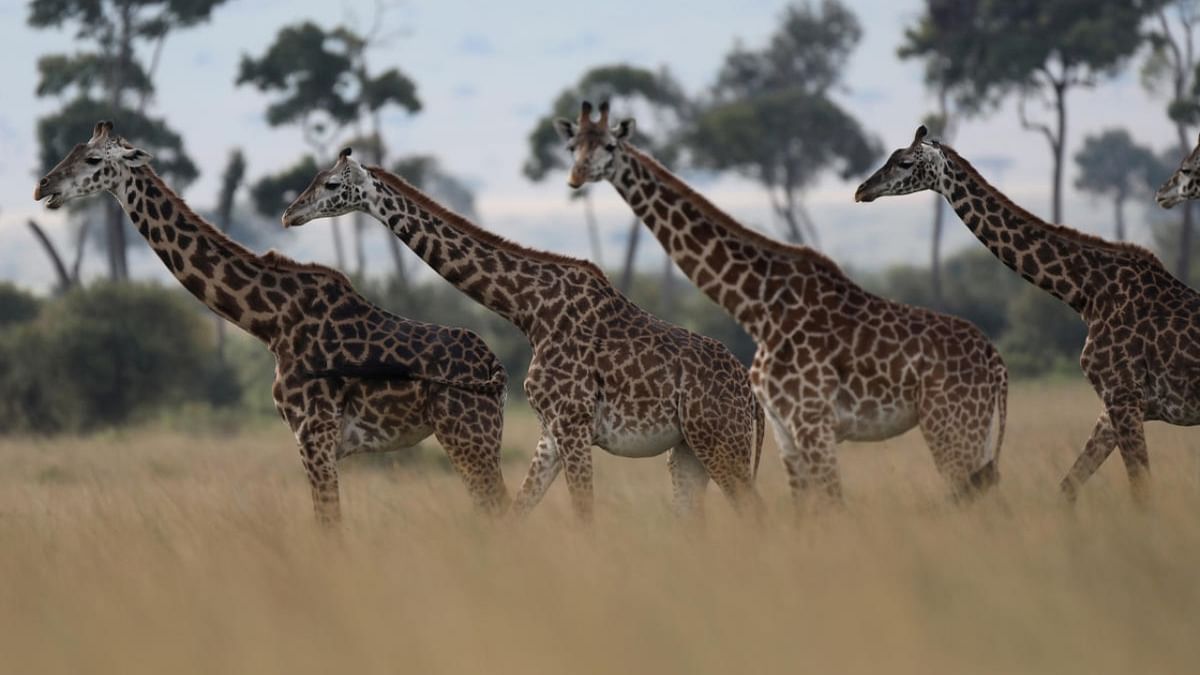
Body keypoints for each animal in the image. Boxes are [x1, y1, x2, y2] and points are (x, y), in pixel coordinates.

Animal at [32, 120, 511, 521]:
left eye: (94, 159)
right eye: (74, 149)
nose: (42, 185)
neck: (269, 321)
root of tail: (497, 368)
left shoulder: (314, 434)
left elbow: (329, 528)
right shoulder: (317, 440)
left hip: (468, 432)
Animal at [284, 147, 763, 516]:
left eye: (331, 184)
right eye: (314, 179)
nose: (290, 214)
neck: (529, 312)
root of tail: (753, 400)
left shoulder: (573, 423)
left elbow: (584, 515)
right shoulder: (551, 431)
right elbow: (517, 512)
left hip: (722, 441)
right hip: (688, 450)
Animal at [556, 100, 1008, 504]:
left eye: (608, 147)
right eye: (573, 145)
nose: (576, 176)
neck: (757, 305)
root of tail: (998, 367)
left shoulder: (812, 422)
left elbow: (832, 505)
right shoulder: (785, 429)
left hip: (951, 427)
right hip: (971, 432)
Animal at [859, 123, 1200, 499]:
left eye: (904, 162)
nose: (862, 190)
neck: (1087, 294)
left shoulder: (1123, 395)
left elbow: (1141, 492)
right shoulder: (1115, 407)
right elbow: (1067, 487)